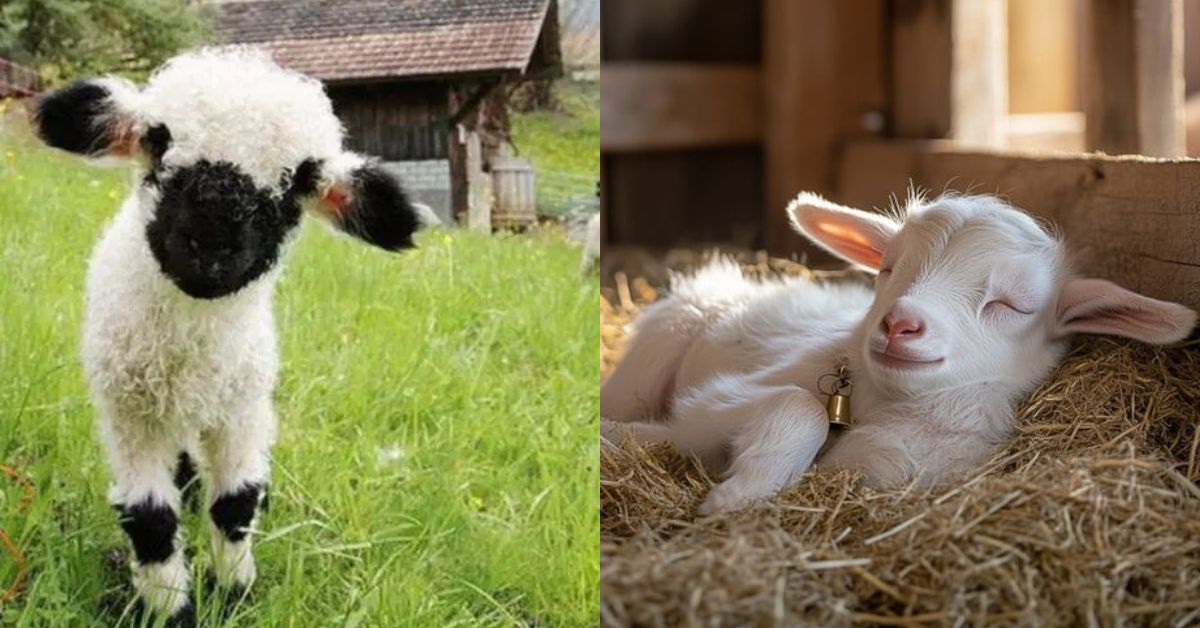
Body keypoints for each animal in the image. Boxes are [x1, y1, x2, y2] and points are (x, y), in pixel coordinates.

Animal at [31, 48, 421, 623]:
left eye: (300, 182)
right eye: (157, 140)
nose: (210, 245)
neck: (192, 340)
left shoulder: (243, 407)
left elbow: (235, 502)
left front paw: (235, 592)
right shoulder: (130, 412)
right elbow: (150, 519)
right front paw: (170, 609)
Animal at [601, 192, 1196, 515]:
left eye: (1012, 304)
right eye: (888, 267)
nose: (899, 323)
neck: (877, 404)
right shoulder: (719, 400)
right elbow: (797, 404)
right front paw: (739, 494)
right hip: (660, 342)